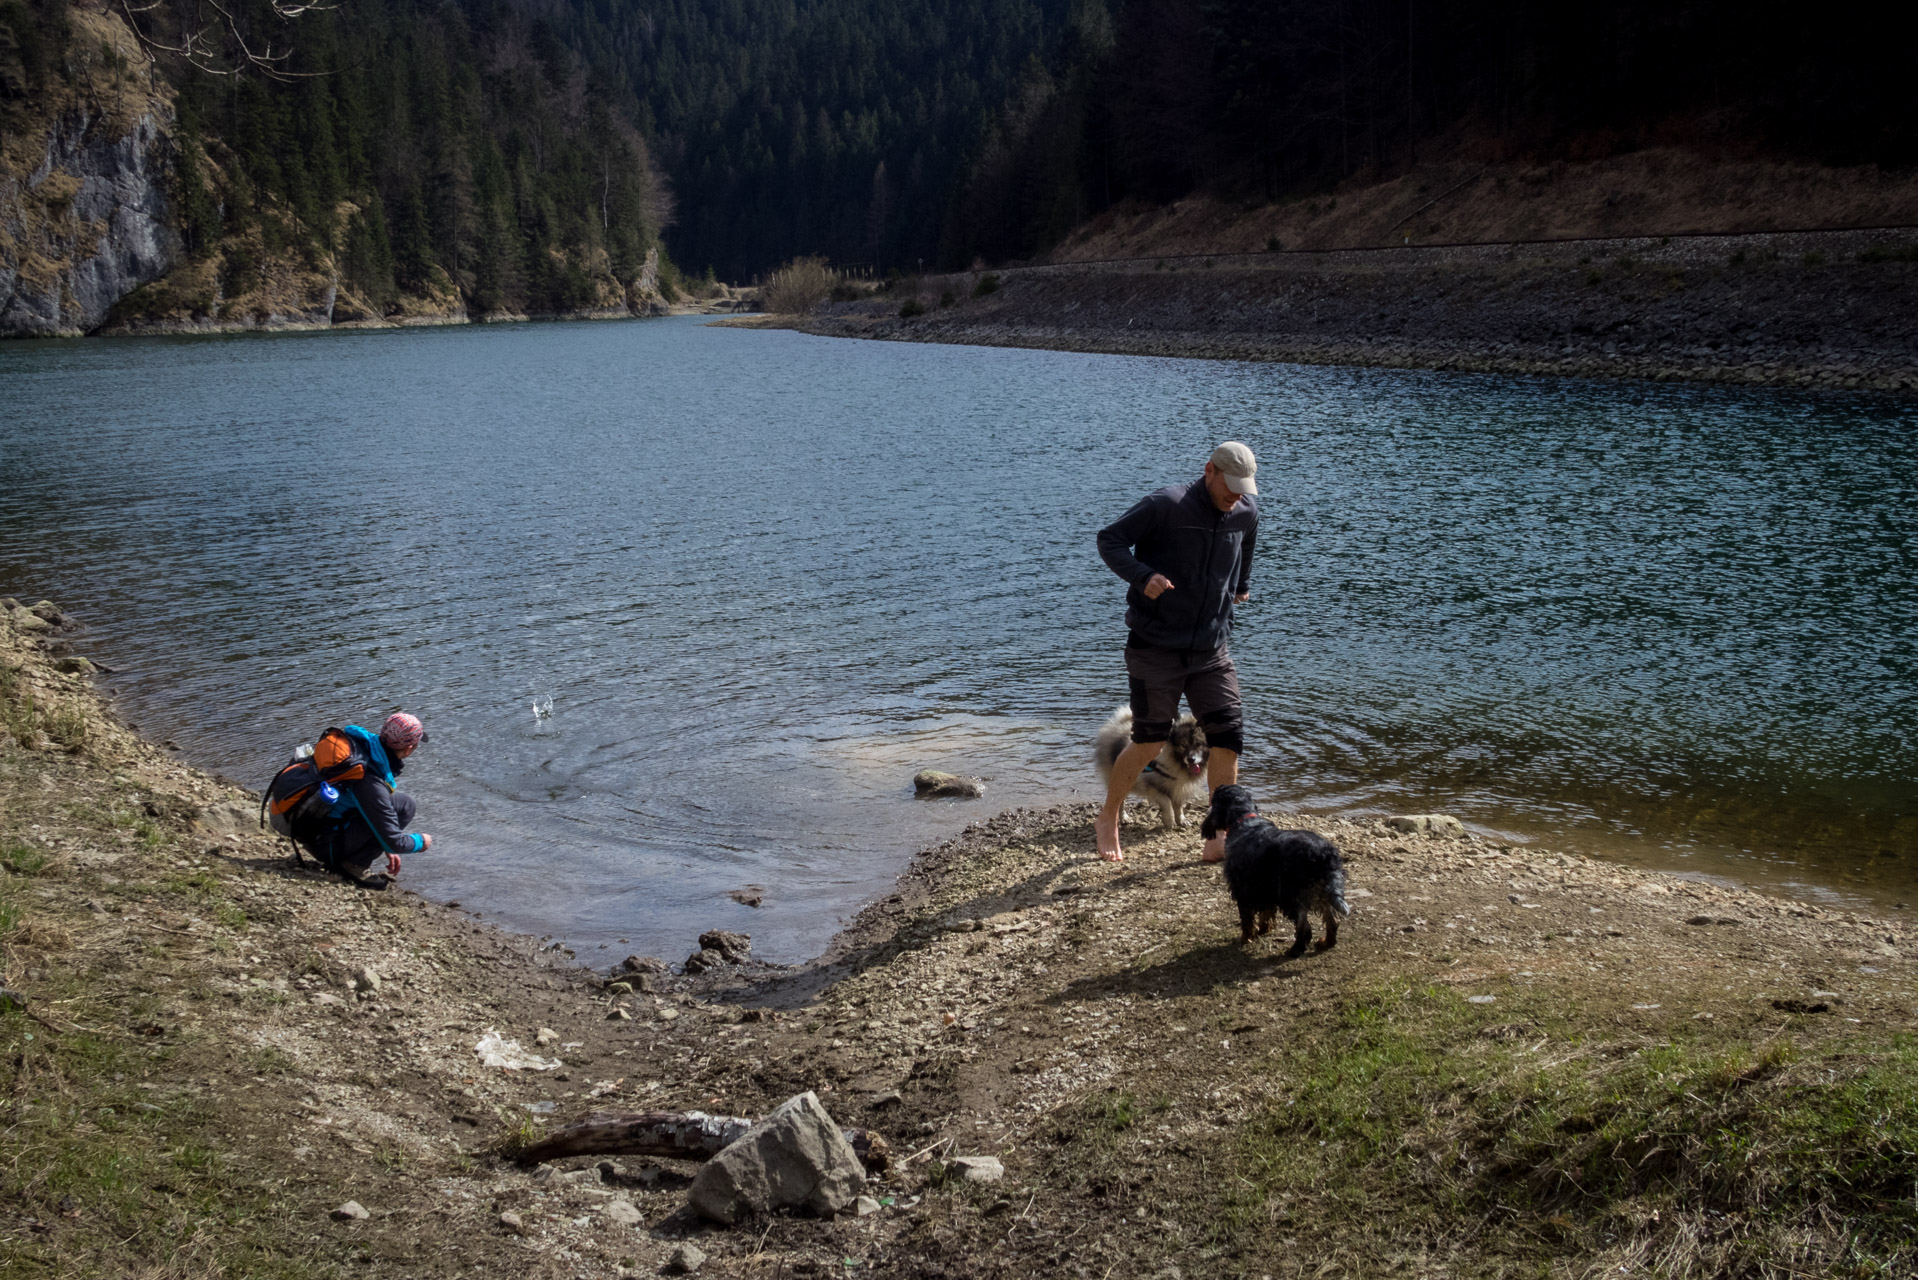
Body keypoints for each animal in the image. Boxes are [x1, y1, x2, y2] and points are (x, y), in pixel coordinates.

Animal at [1204, 786, 1357, 955]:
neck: (1245, 820)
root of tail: (1325, 854)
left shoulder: (1242, 890)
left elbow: (1247, 919)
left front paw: (1246, 939)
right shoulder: (1264, 889)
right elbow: (1266, 914)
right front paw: (1263, 930)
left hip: (1291, 896)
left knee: (1304, 927)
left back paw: (1295, 950)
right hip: (1322, 892)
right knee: (1331, 921)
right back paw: (1326, 943)